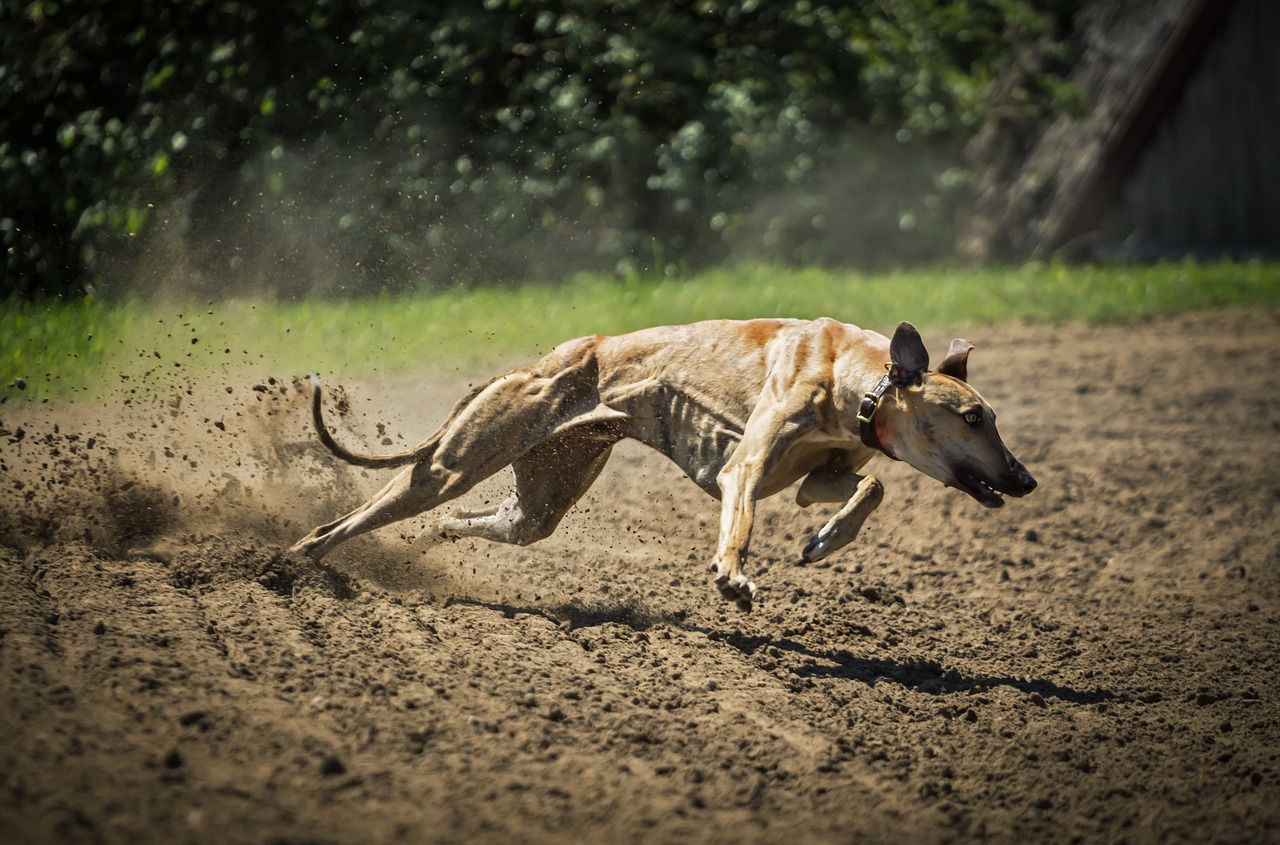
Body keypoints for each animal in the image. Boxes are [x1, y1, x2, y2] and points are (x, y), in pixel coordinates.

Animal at [288, 318, 1029, 606]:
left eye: (993, 415)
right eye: (973, 418)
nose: (1025, 479)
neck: (858, 378)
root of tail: (536, 365)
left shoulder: (815, 475)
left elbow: (869, 483)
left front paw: (825, 540)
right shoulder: (744, 471)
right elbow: (740, 522)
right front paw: (733, 578)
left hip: (538, 500)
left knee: (485, 520)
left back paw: (425, 543)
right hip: (450, 466)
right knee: (339, 525)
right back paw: (293, 563)